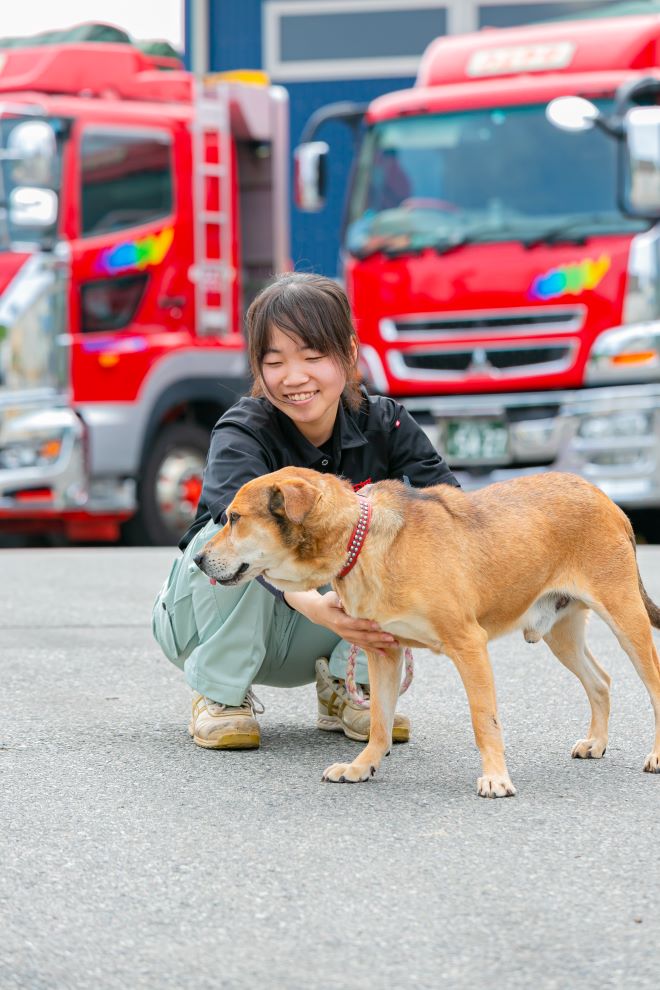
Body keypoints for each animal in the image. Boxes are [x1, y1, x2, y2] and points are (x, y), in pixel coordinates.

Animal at [195, 468, 660, 804]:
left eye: (234, 518)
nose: (197, 558)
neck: (362, 540)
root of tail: (605, 498)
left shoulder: (469, 645)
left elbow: (484, 721)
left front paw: (496, 777)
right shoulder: (383, 651)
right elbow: (379, 723)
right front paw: (363, 766)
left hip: (626, 619)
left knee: (652, 686)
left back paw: (655, 755)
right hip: (559, 633)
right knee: (601, 682)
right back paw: (597, 742)